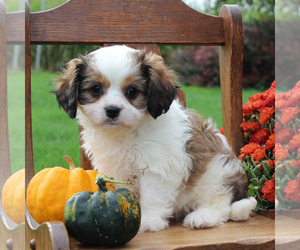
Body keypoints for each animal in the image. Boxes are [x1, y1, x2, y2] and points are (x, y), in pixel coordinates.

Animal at [53, 45, 255, 232]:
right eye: (96, 89)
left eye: (132, 91)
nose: (112, 110)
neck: (127, 132)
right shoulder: (117, 170)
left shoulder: (158, 167)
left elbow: (152, 195)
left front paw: (148, 220)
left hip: (217, 172)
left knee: (221, 203)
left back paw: (204, 216)